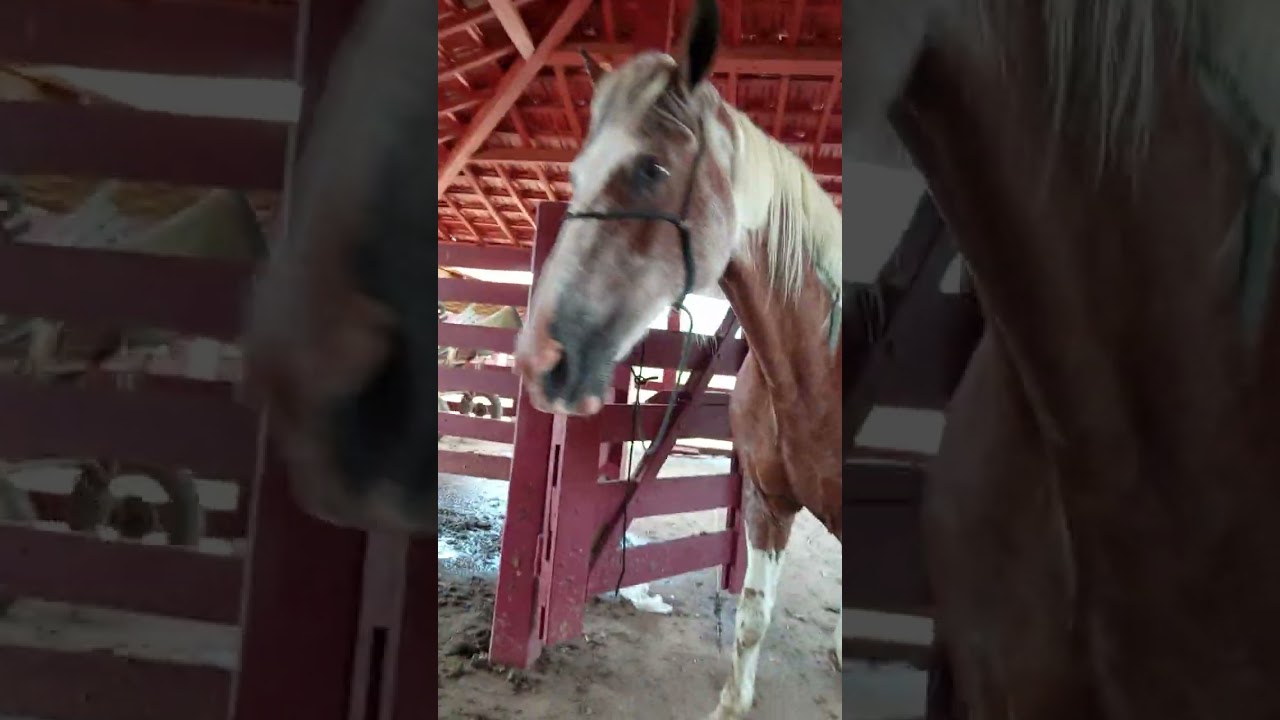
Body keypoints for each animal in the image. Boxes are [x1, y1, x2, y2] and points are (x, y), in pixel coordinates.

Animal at [510, 2, 841, 717]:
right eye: (575, 175)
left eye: (652, 170)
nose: (539, 361)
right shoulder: (767, 505)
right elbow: (751, 617)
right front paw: (732, 702)